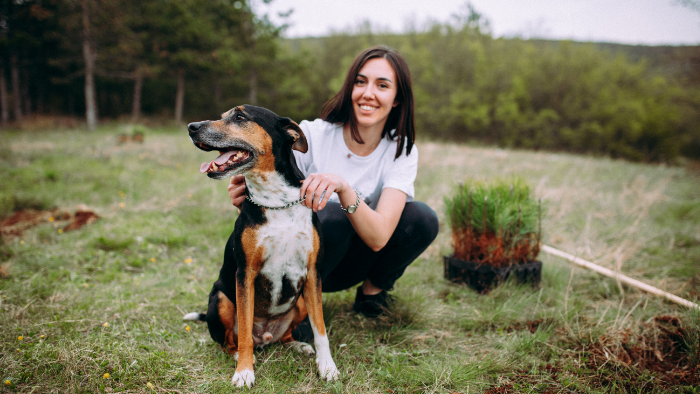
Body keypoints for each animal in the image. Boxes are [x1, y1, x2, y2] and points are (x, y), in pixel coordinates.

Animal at [183, 104, 340, 388]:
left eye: (239, 117)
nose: (191, 127)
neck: (277, 202)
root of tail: (265, 336)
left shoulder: (313, 274)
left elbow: (320, 328)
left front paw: (327, 367)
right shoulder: (245, 275)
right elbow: (244, 329)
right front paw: (244, 372)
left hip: (300, 301)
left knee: (285, 335)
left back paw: (296, 345)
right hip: (221, 299)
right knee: (228, 340)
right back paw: (239, 355)